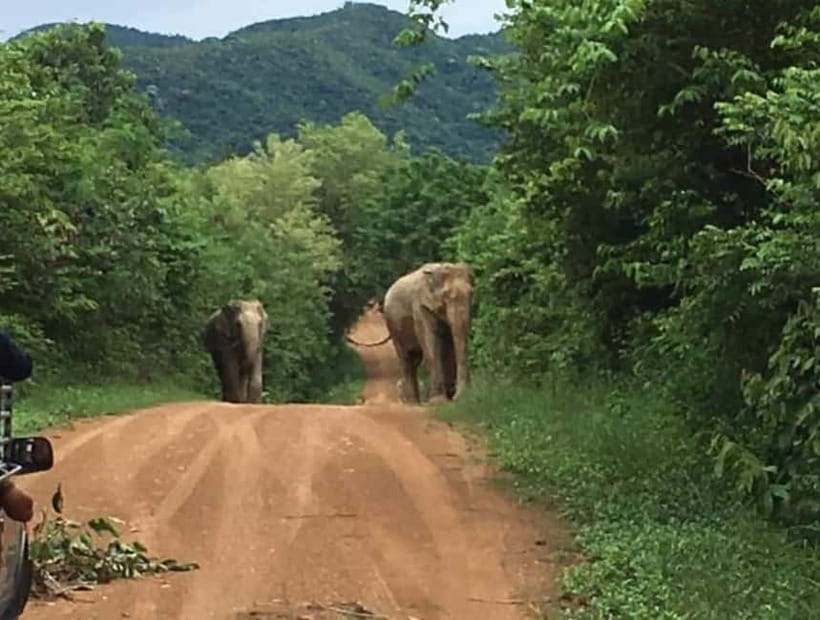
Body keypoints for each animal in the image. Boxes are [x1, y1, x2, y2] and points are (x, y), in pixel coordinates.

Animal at [376, 262, 473, 404]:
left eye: (471, 294)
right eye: (446, 296)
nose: (460, 396)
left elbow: (449, 342)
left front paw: (450, 398)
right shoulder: (420, 306)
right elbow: (430, 339)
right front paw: (438, 401)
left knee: (415, 359)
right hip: (393, 327)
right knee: (406, 359)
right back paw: (412, 402)